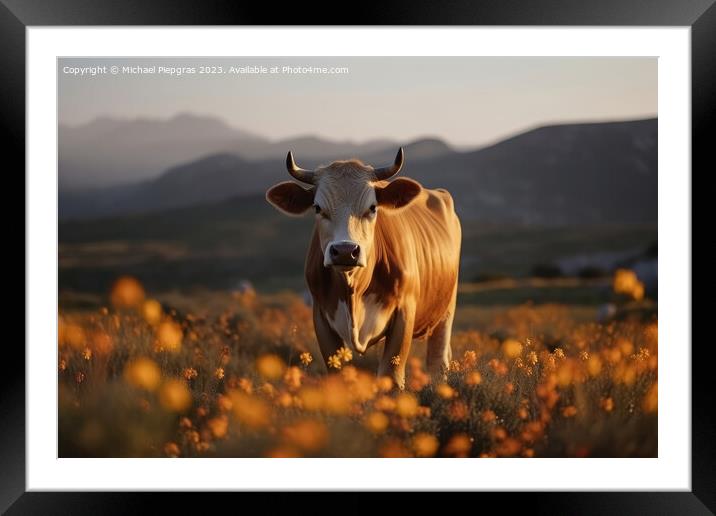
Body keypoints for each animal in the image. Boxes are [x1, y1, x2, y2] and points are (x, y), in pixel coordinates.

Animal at [266, 147, 462, 390]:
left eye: (372, 207)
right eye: (318, 208)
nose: (344, 250)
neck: (354, 290)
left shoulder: (405, 312)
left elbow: (391, 375)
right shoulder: (320, 316)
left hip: (446, 311)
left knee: (438, 361)